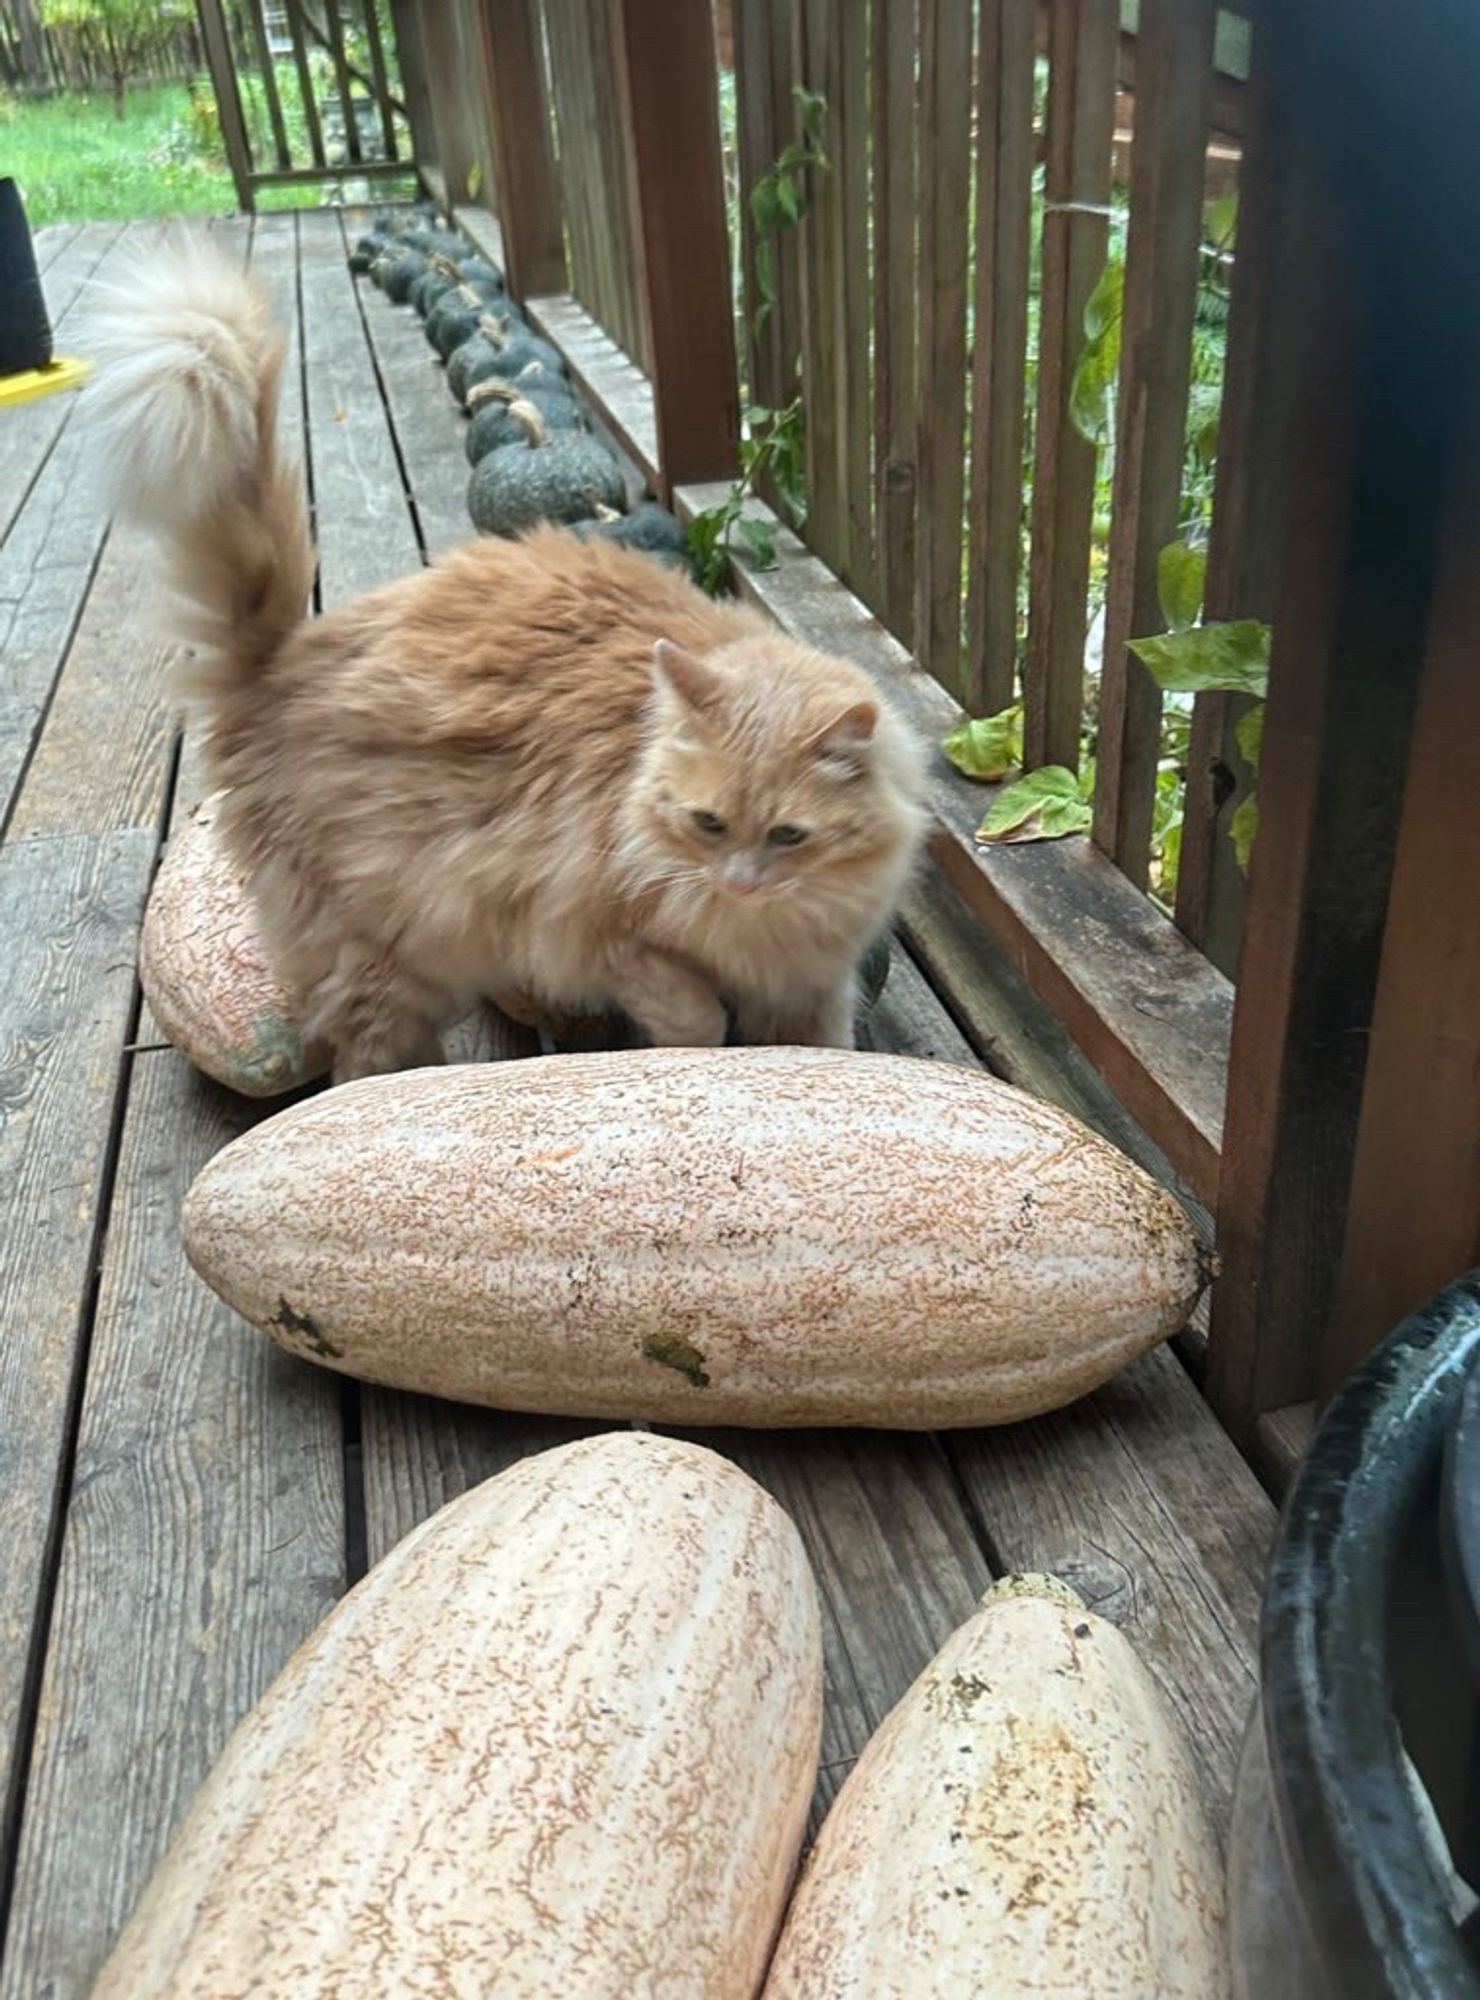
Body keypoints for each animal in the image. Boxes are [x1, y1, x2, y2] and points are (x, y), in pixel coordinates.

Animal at [89, 240, 924, 1080]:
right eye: (708, 823)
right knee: (363, 1060)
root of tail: (286, 655)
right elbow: (691, 1013)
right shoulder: (597, 935)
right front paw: (694, 1051)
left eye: (789, 836)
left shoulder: (813, 982)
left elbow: (824, 1041)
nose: (741, 883)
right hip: (390, 952)